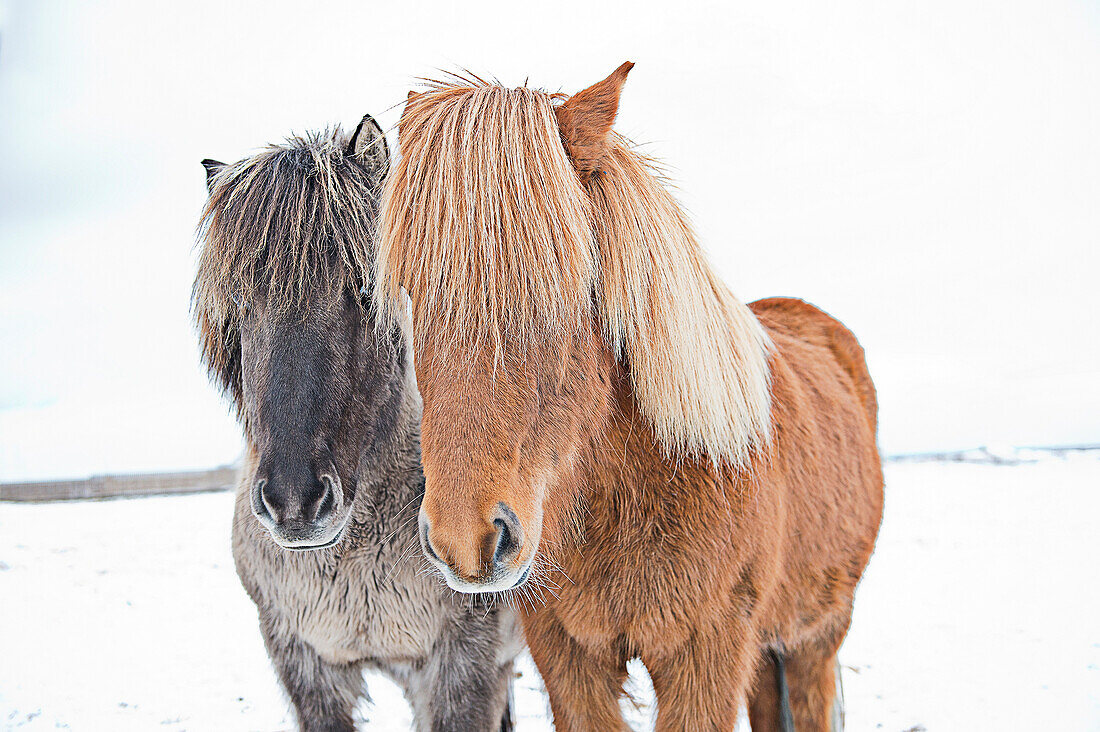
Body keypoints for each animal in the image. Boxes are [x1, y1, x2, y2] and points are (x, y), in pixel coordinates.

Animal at [378, 64, 884, 730]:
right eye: (414, 294)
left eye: (567, 285)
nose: (466, 541)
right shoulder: (567, 656)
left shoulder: (708, 658)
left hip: (814, 641)